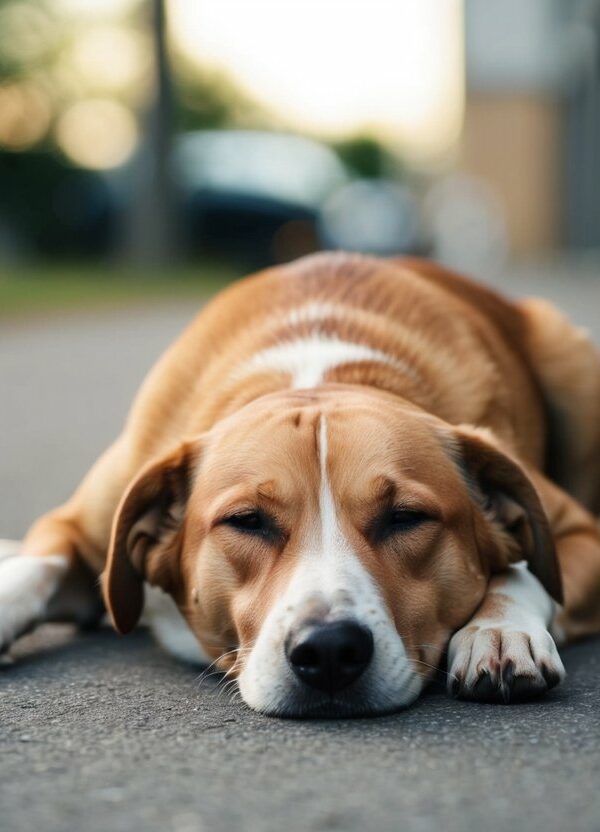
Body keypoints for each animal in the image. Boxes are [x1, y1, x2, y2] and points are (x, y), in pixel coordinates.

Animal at [1, 254, 600, 716]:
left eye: (406, 517)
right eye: (246, 521)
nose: (331, 650)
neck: (322, 372)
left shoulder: (583, 532)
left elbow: (525, 572)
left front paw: (499, 630)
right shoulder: (78, 525)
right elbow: (40, 563)